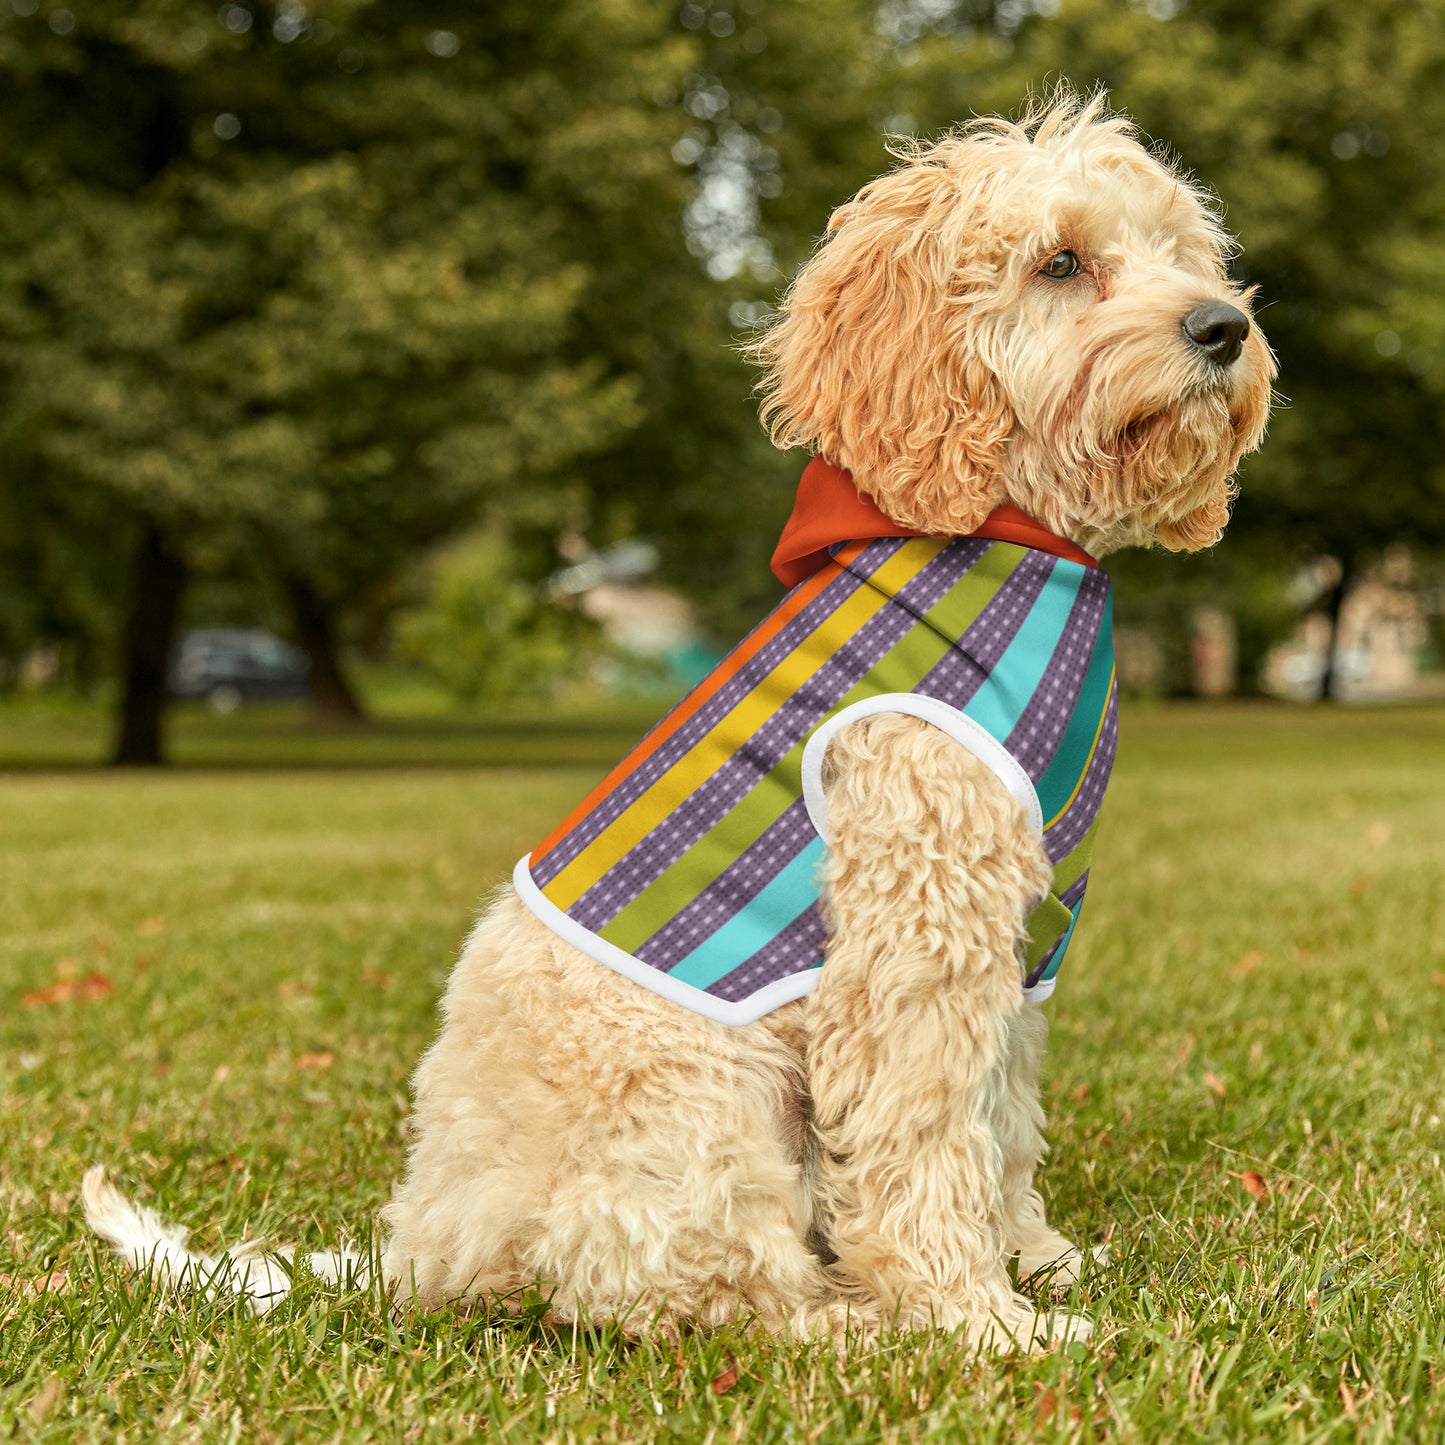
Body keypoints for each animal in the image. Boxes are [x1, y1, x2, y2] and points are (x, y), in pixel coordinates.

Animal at [84, 93, 1271, 1352]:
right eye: (1060, 262)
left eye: (1181, 252)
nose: (1222, 327)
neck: (1011, 536)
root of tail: (424, 1245)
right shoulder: (913, 935)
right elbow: (924, 1138)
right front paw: (976, 1318)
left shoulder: (1014, 945)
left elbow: (999, 1122)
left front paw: (1034, 1260)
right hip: (704, 1105)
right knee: (701, 1291)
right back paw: (851, 1322)